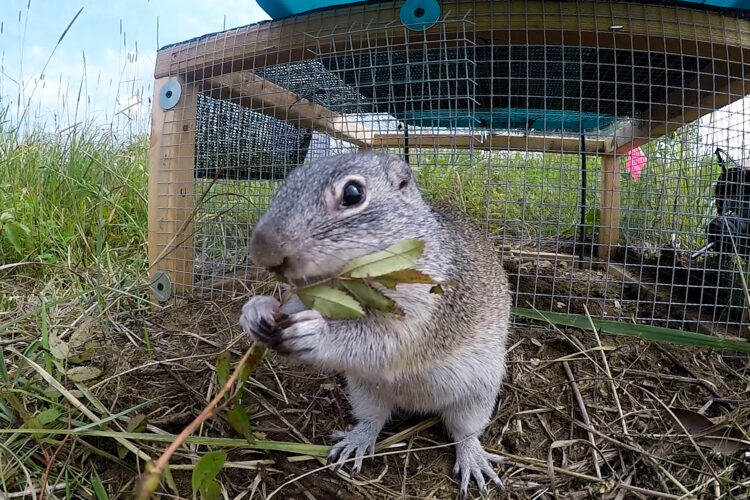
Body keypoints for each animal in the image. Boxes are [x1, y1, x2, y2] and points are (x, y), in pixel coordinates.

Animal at [241, 151, 512, 496]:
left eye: (353, 193)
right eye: (288, 180)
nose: (263, 251)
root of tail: (417, 406)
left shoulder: (424, 310)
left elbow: (383, 341)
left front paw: (314, 333)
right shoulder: (315, 294)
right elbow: (293, 305)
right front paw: (256, 310)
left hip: (477, 395)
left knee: (465, 432)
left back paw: (473, 459)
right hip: (364, 392)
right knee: (373, 420)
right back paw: (356, 441)